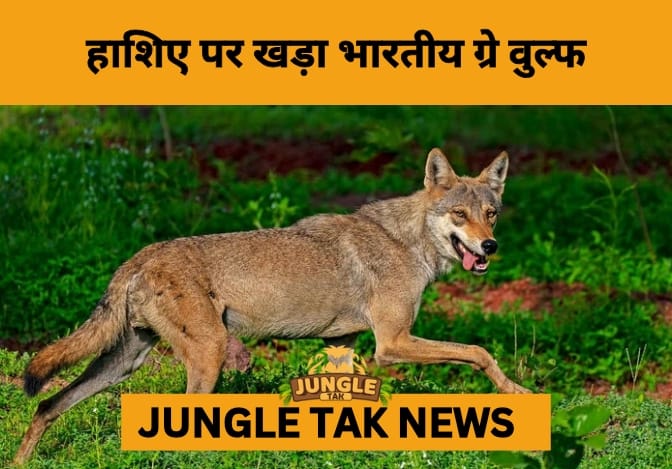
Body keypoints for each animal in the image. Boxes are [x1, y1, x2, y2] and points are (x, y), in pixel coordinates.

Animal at [14, 148, 529, 464]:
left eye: (491, 214)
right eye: (459, 215)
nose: (490, 246)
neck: (408, 243)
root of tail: (140, 256)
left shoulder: (343, 345)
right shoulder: (392, 344)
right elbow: (479, 352)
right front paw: (516, 392)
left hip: (123, 364)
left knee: (47, 405)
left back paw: (21, 459)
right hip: (208, 357)